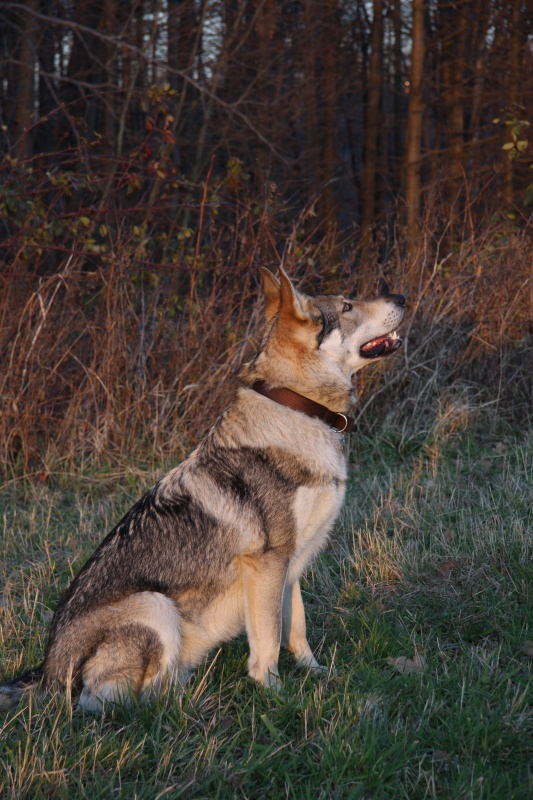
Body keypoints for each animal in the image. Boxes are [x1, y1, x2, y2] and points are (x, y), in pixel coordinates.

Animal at [0, 268, 404, 712]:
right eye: (347, 305)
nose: (401, 297)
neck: (296, 408)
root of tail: (47, 673)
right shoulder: (267, 563)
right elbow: (267, 643)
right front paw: (273, 696)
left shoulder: (291, 564)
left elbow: (296, 630)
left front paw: (318, 676)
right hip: (154, 605)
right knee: (109, 701)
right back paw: (183, 702)